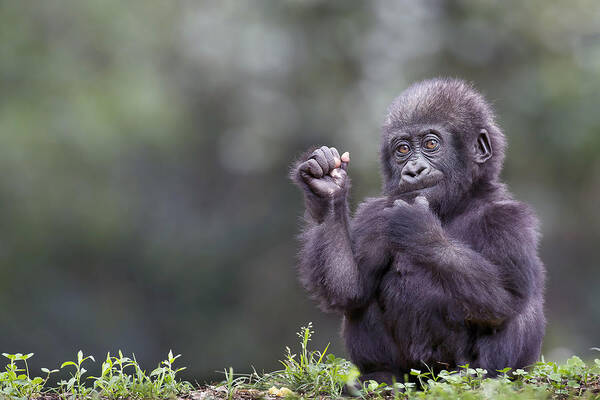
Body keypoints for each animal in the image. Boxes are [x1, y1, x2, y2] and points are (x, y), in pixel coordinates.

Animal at [290, 78, 544, 384]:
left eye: (431, 143)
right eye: (402, 150)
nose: (414, 170)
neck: (456, 205)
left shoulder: (510, 219)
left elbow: (507, 296)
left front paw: (419, 228)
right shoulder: (375, 214)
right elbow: (349, 288)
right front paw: (327, 189)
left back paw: (483, 377)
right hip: (412, 372)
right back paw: (381, 373)